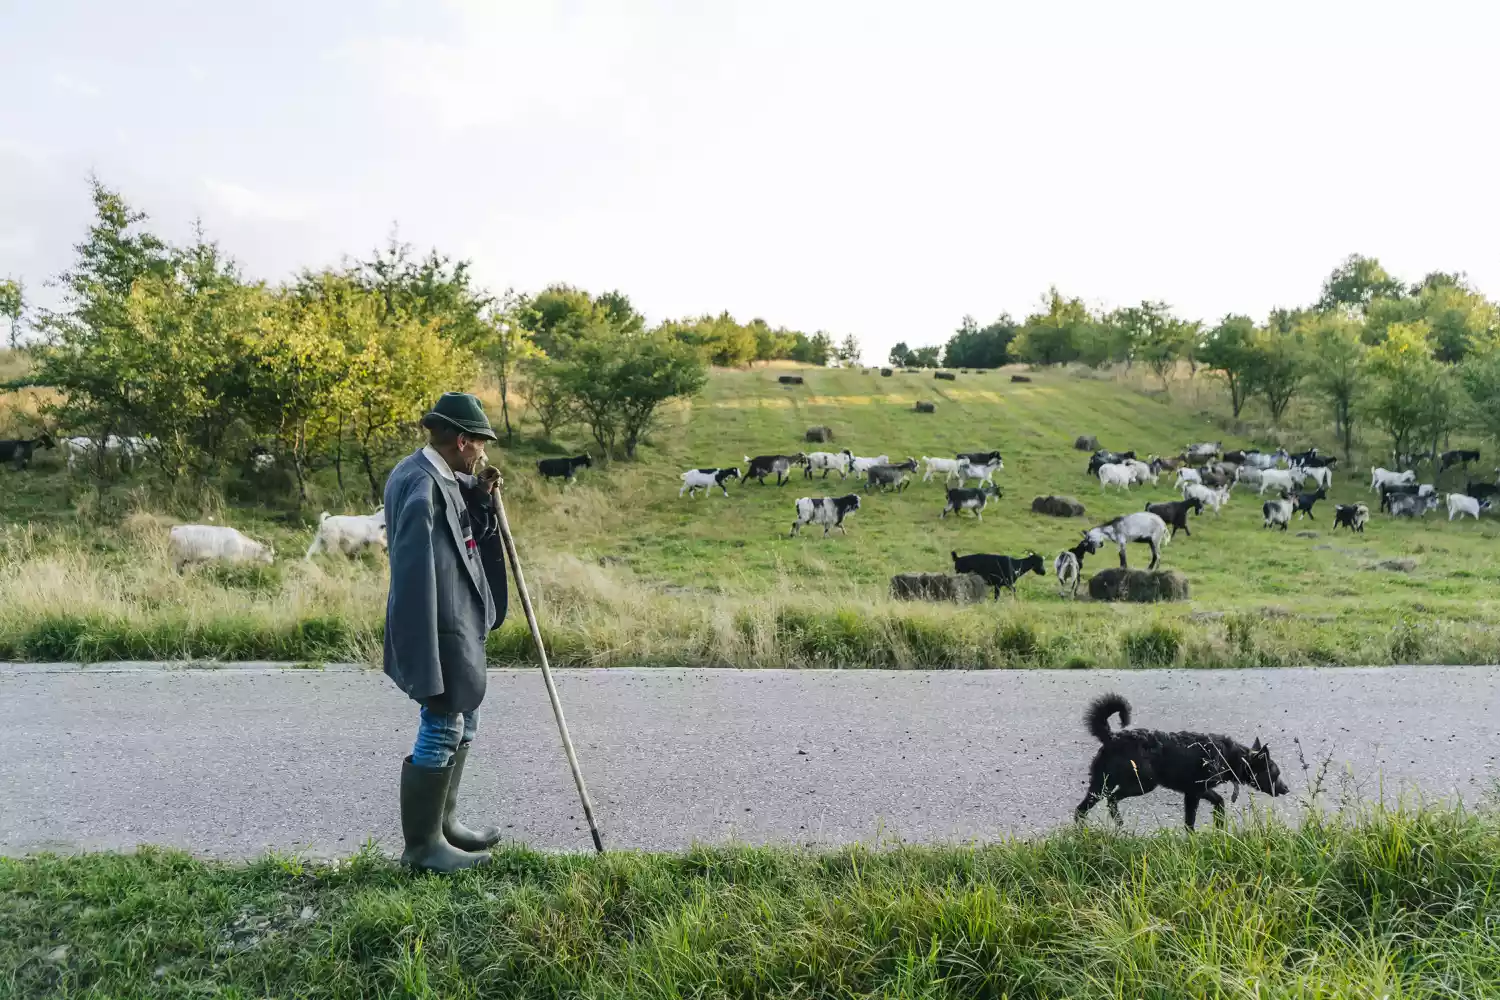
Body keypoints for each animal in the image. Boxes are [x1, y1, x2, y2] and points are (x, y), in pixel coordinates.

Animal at [1080, 695, 1290, 827]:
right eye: (1276, 773)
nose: (1287, 789)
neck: (1231, 757)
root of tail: (1112, 737)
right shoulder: (1195, 792)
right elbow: (1192, 820)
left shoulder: (1196, 791)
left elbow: (1217, 804)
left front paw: (1219, 828)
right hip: (1140, 784)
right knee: (1109, 800)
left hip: (1100, 785)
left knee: (1083, 809)